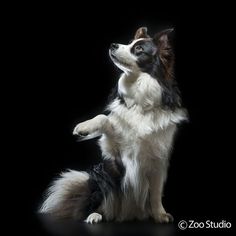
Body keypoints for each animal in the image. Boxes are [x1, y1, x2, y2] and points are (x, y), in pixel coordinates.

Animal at [40, 26, 188, 224]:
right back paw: (94, 215)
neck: (141, 101)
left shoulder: (158, 160)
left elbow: (156, 194)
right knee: (97, 201)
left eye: (138, 48)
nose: (113, 44)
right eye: (129, 42)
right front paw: (83, 127)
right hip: (101, 175)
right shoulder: (114, 151)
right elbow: (104, 117)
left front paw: (160, 215)